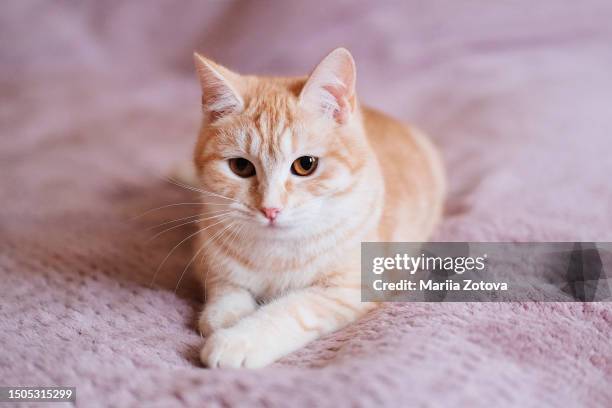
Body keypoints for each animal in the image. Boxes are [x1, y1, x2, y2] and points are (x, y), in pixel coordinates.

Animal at [189, 47, 442, 370]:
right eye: (241, 167)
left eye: (305, 165)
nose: (270, 209)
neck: (276, 254)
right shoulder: (204, 254)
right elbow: (224, 286)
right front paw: (227, 316)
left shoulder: (350, 288)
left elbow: (291, 309)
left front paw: (239, 339)